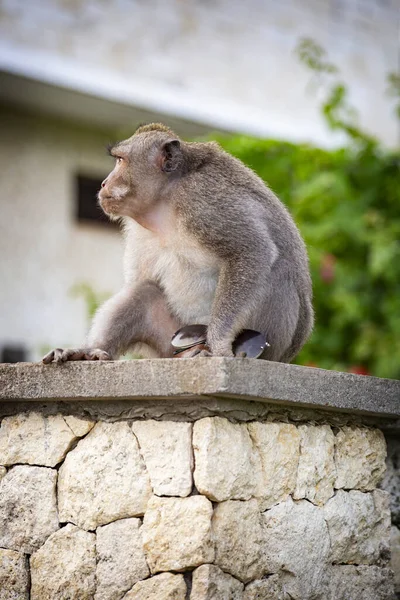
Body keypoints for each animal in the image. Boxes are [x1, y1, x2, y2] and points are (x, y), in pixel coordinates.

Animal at [43, 123, 312, 360]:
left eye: (120, 160)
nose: (103, 183)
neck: (165, 199)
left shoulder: (202, 200)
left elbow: (251, 251)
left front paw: (219, 343)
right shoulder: (136, 227)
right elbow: (140, 281)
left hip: (272, 343)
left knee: (279, 271)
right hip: (169, 342)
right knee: (144, 291)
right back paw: (92, 351)